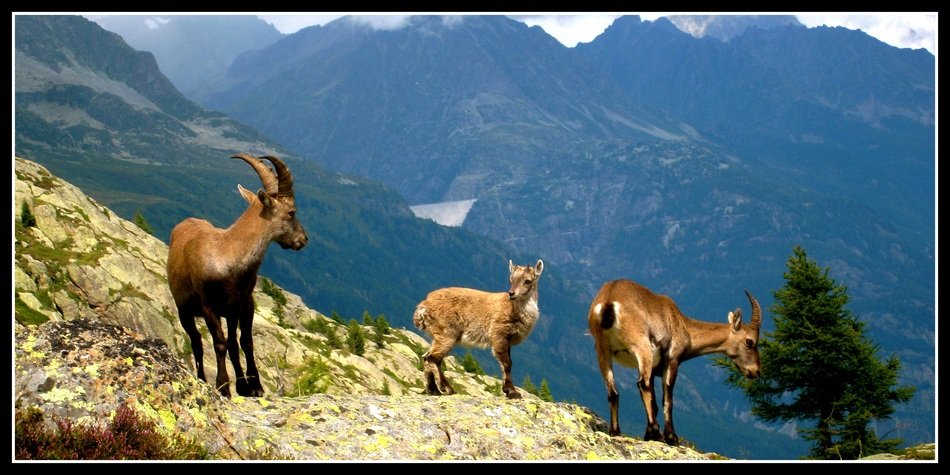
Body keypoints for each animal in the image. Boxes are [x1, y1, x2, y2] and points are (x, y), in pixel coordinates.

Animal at [167, 153, 307, 398]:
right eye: (292, 212)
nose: (303, 239)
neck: (227, 255)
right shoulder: (209, 306)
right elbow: (220, 343)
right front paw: (223, 386)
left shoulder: (243, 304)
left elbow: (244, 342)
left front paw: (252, 386)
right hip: (184, 309)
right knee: (197, 343)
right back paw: (202, 378)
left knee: (231, 343)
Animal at [413, 259, 544, 399]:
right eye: (510, 280)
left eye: (527, 281)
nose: (511, 293)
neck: (515, 309)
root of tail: (423, 307)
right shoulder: (498, 334)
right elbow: (506, 363)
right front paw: (512, 392)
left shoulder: (507, 340)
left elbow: (508, 363)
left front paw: (508, 390)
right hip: (447, 334)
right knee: (432, 358)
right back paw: (447, 388)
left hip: (438, 335)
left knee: (427, 357)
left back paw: (433, 390)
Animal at [588, 279, 761, 445]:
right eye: (750, 341)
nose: (756, 371)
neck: (683, 325)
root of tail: (609, 302)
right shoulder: (671, 360)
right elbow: (667, 399)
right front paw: (671, 437)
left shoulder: (652, 368)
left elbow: (655, 403)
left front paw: (648, 435)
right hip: (641, 346)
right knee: (642, 384)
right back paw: (657, 434)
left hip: (603, 349)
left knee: (613, 391)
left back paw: (615, 432)